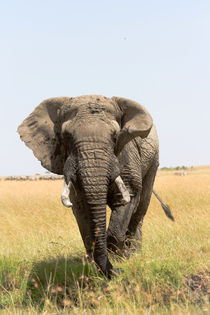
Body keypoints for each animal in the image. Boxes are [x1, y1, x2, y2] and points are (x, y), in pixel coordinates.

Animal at [18, 95, 173, 278]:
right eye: (66, 136)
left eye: (115, 136)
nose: (118, 271)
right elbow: (81, 208)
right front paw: (98, 265)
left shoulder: (127, 156)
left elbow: (127, 200)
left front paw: (123, 258)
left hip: (153, 162)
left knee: (140, 209)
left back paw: (134, 252)